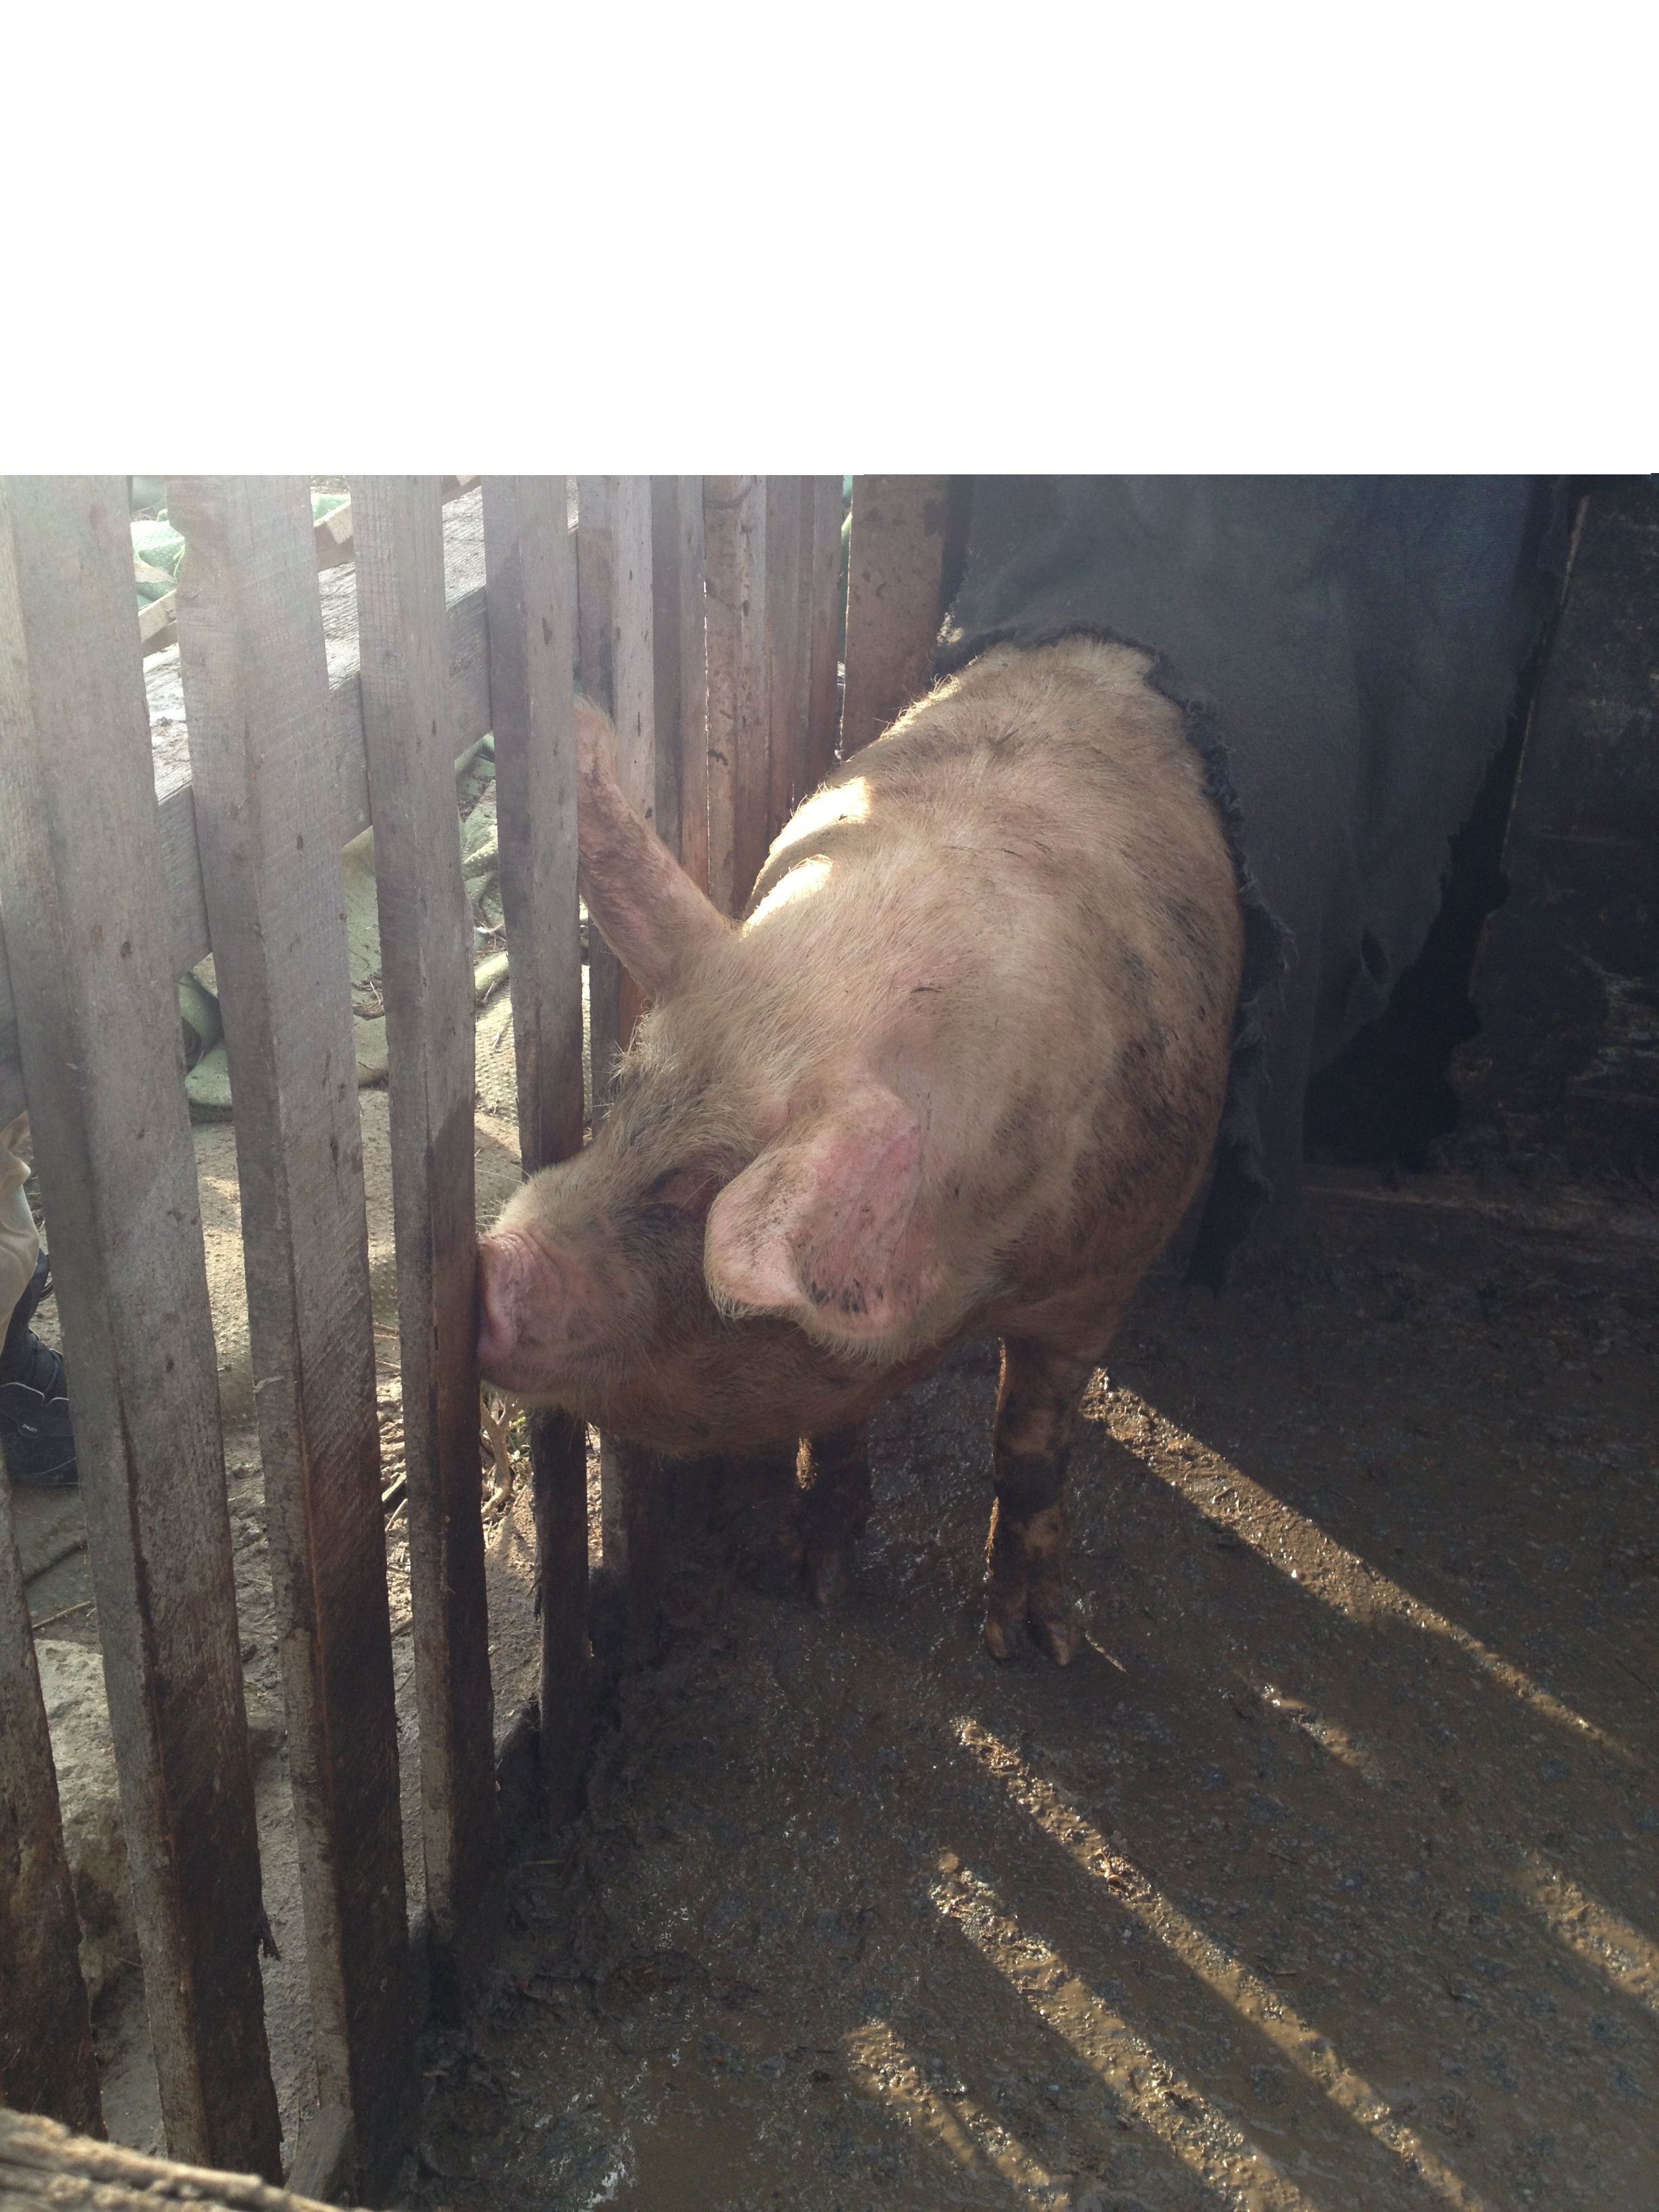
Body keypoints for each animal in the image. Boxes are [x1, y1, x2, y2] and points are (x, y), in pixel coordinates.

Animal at [477, 635, 1243, 1662]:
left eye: (700, 1187)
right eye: (624, 1096)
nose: (486, 1269)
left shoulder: (1104, 1268)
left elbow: (1031, 1440)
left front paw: (1031, 1644)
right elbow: (839, 1421)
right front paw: (822, 1579)